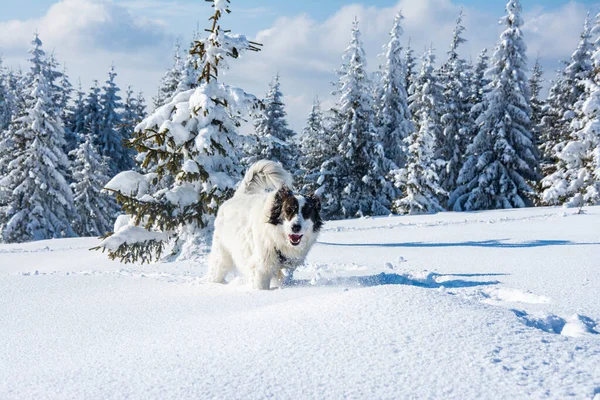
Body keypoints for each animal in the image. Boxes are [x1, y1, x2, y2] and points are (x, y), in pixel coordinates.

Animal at [205, 160, 322, 290]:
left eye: (306, 212)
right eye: (288, 210)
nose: (296, 227)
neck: (276, 237)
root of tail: (238, 196)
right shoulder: (261, 269)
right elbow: (261, 286)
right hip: (222, 256)